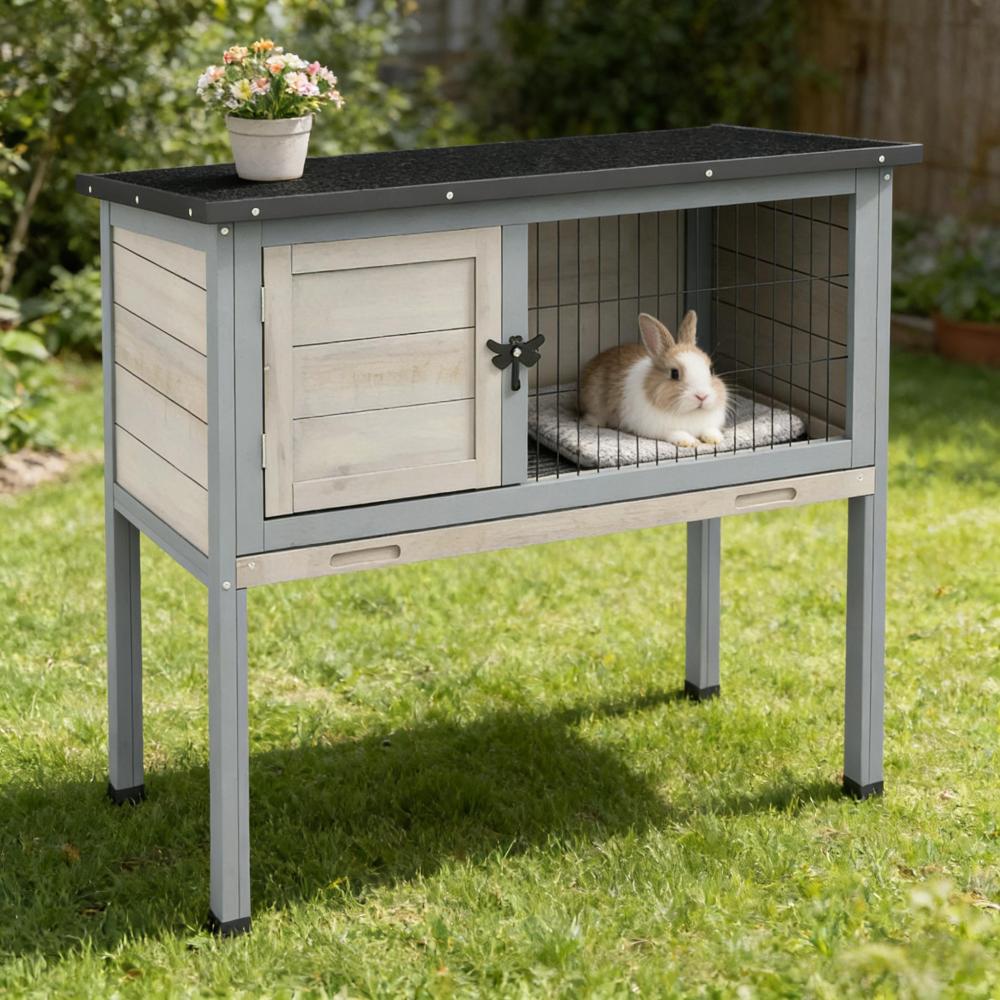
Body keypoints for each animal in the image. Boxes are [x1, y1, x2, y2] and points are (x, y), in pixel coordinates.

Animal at [579, 310, 728, 448]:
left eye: (711, 370)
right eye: (674, 374)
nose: (702, 396)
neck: (690, 412)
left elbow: (710, 429)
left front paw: (715, 439)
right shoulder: (659, 429)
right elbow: (675, 433)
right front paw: (689, 442)